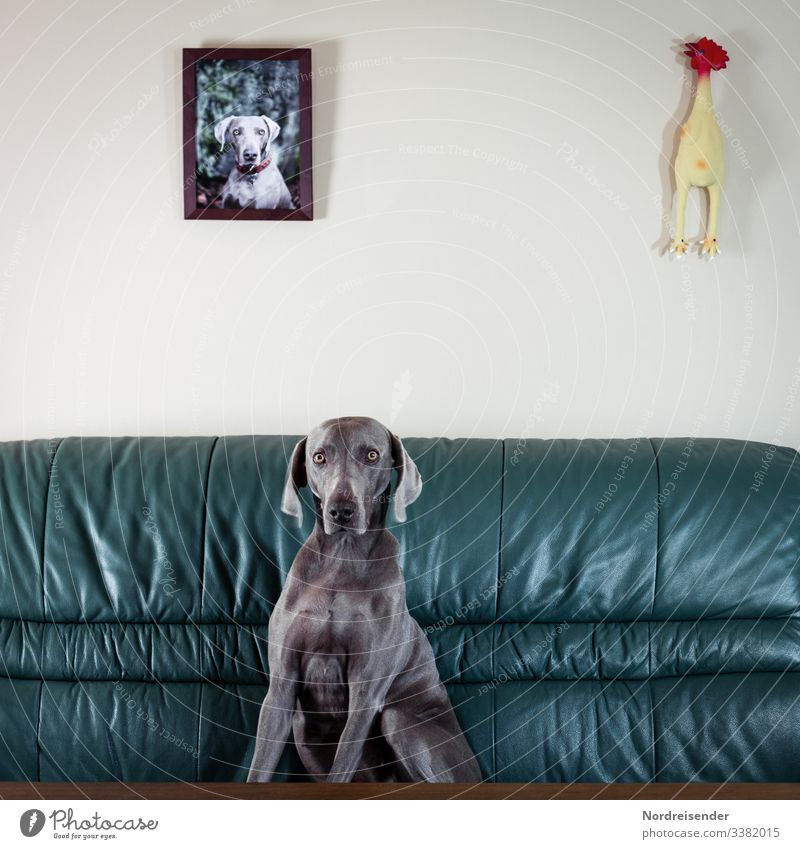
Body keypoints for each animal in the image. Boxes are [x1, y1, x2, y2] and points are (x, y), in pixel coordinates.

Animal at [247, 418, 478, 780]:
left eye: (372, 454)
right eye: (318, 457)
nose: (341, 510)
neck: (343, 557)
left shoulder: (366, 692)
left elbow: (341, 766)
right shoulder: (280, 687)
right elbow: (258, 770)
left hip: (399, 722)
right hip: (305, 736)